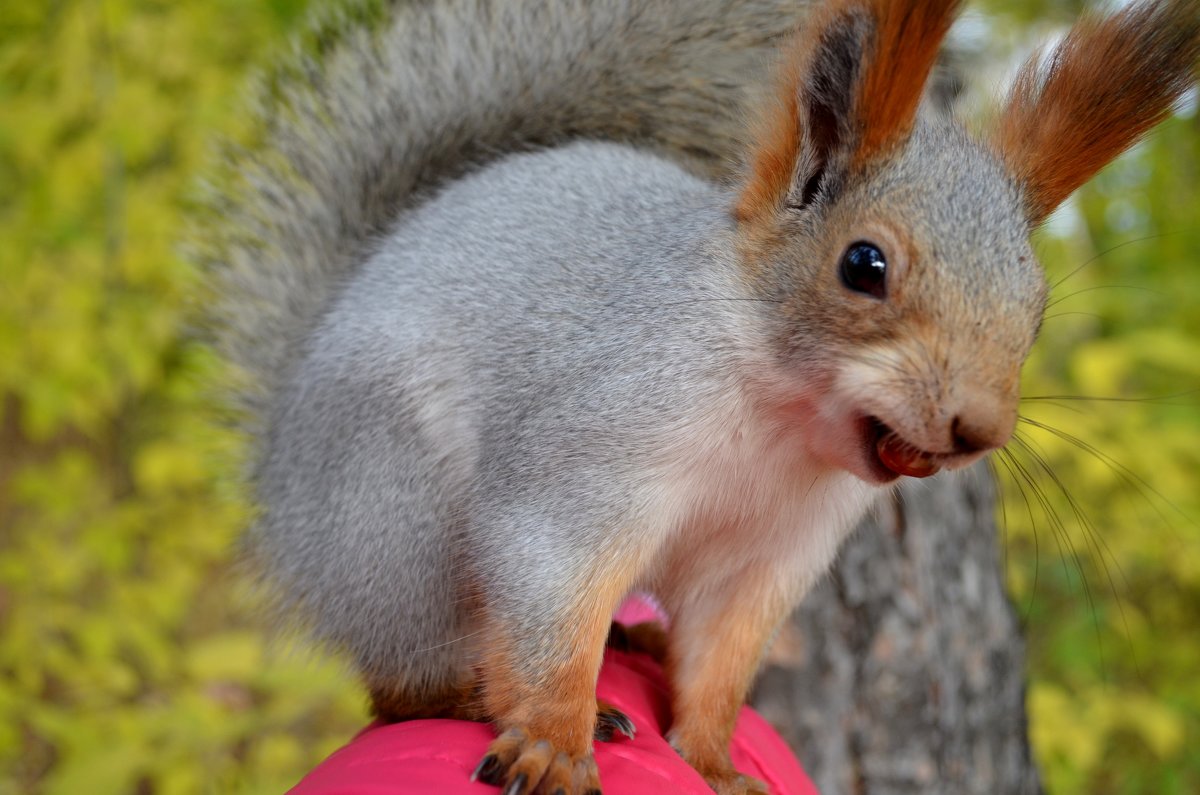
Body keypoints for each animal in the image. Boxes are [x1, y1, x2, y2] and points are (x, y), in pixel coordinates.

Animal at [194, 1, 1200, 795]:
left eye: (1036, 308)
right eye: (863, 265)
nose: (979, 428)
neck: (780, 422)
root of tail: (282, 464)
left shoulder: (769, 554)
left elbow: (722, 657)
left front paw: (712, 760)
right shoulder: (586, 458)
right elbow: (550, 592)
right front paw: (554, 739)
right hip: (395, 523)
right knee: (398, 682)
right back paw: (474, 690)